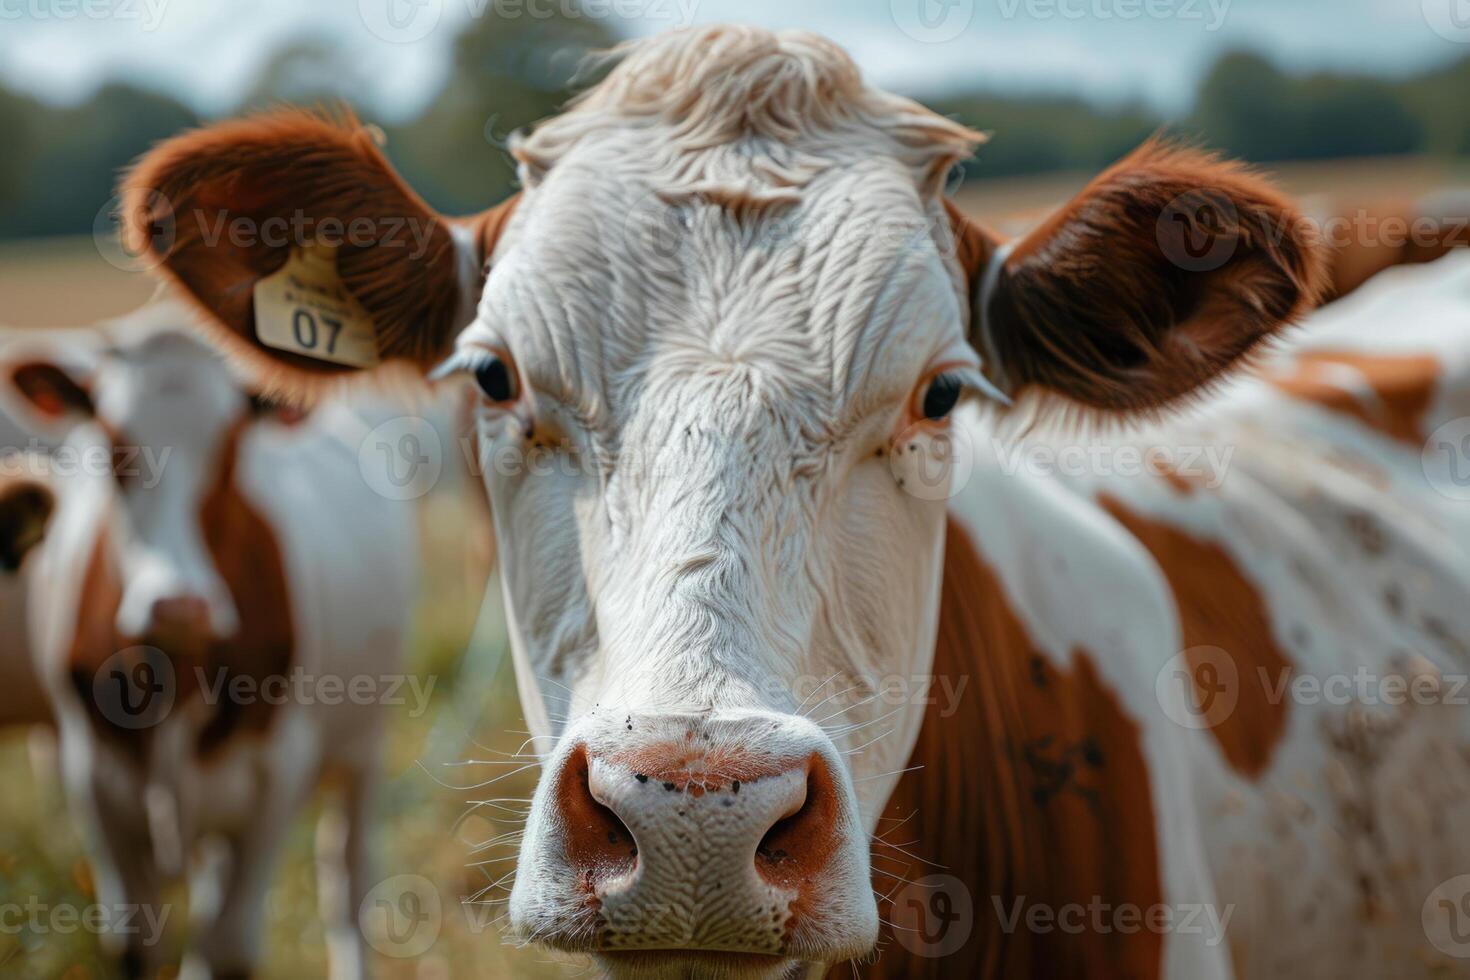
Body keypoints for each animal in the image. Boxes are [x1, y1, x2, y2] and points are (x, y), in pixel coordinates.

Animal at [0, 302, 420, 975]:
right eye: (115, 450)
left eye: (231, 450)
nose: (178, 604)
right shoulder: (91, 776)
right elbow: (137, 941)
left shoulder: (277, 774)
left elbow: (229, 944)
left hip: (363, 746)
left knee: (347, 879)